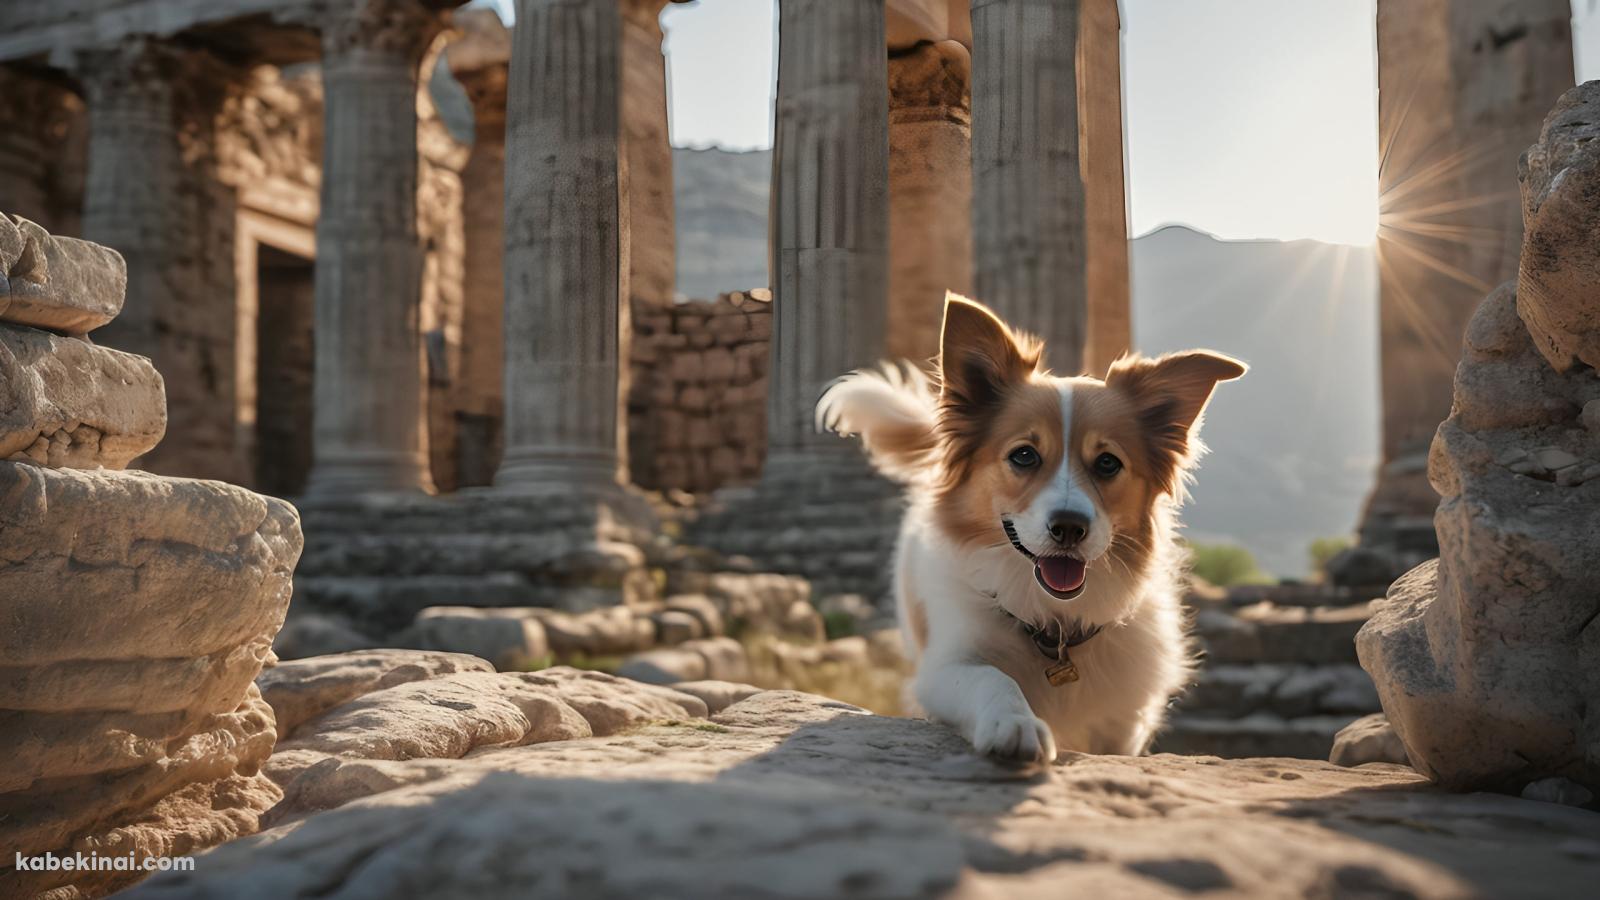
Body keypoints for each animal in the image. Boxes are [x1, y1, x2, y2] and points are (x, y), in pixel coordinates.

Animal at [819, 291, 1241, 759]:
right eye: (1024, 455)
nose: (1069, 527)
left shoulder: (1122, 727)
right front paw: (1015, 723)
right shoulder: (943, 668)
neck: (1054, 630)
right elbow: (992, 677)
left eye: (1108, 462)